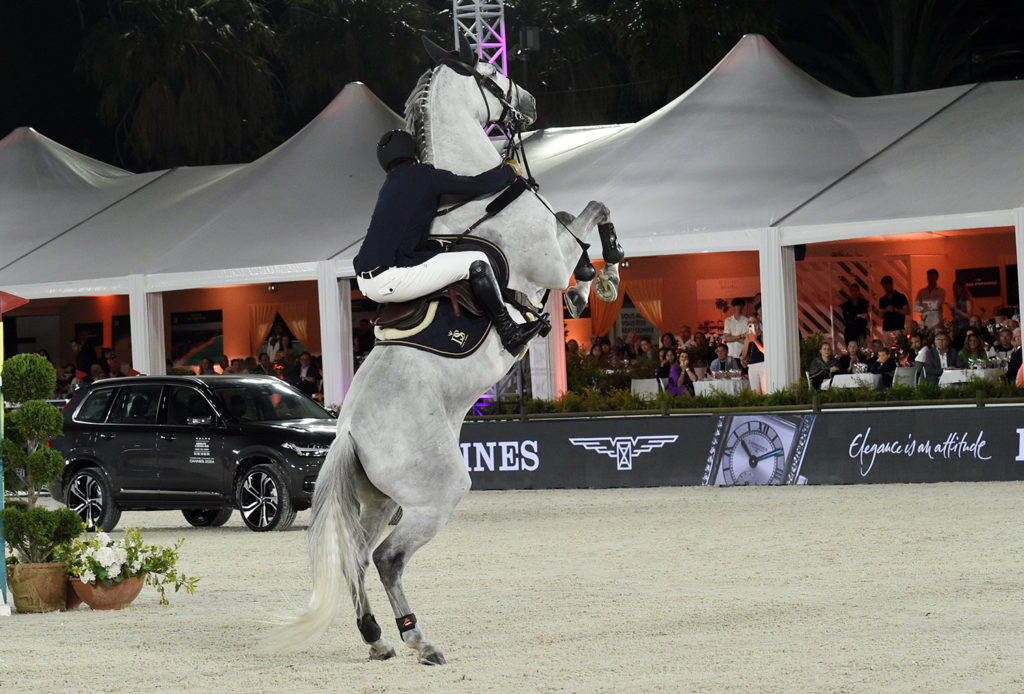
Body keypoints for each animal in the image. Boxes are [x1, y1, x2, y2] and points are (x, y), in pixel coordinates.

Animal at [268, 39, 618, 667]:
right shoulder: (547, 260)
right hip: (438, 494)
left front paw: (587, 288)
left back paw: (377, 638)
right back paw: (417, 639)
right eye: (492, 69)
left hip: (382, 501)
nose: (530, 101)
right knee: (388, 558)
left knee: (357, 557)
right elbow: (589, 217)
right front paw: (602, 278)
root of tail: (348, 430)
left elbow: (579, 221)